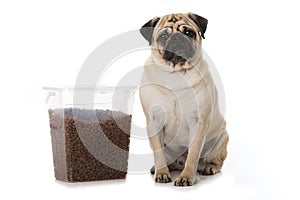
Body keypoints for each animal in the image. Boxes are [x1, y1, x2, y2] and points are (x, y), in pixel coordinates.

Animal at [139, 13, 229, 187]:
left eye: (188, 33)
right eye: (163, 36)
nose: (177, 38)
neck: (176, 73)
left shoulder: (198, 122)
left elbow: (193, 154)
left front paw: (187, 176)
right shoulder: (154, 121)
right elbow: (158, 154)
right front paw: (162, 173)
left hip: (221, 140)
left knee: (216, 161)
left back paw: (209, 167)